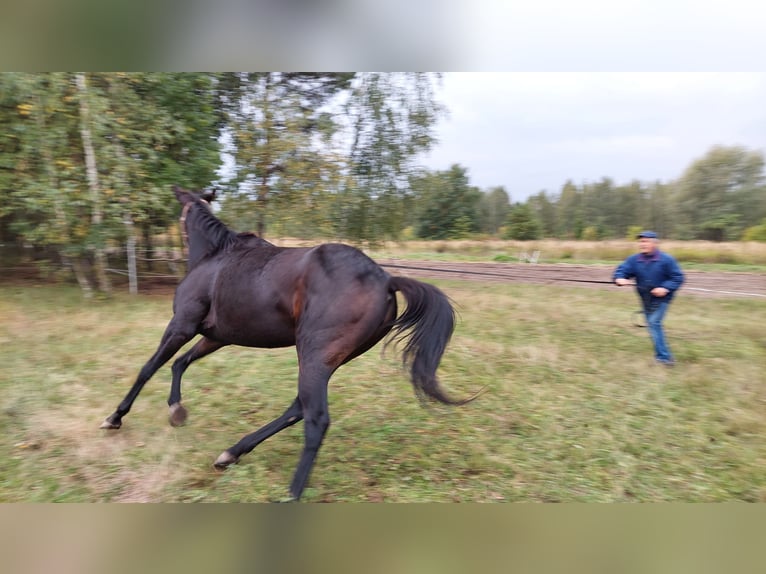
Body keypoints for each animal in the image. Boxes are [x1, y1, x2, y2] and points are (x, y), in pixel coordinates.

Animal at [102, 187, 474, 502]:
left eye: (180, 214)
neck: (214, 257)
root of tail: (386, 279)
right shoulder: (216, 336)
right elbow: (180, 363)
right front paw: (176, 411)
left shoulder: (182, 325)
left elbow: (149, 367)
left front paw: (115, 418)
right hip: (327, 359)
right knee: (297, 408)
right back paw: (230, 454)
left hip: (312, 354)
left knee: (315, 418)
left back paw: (290, 494)